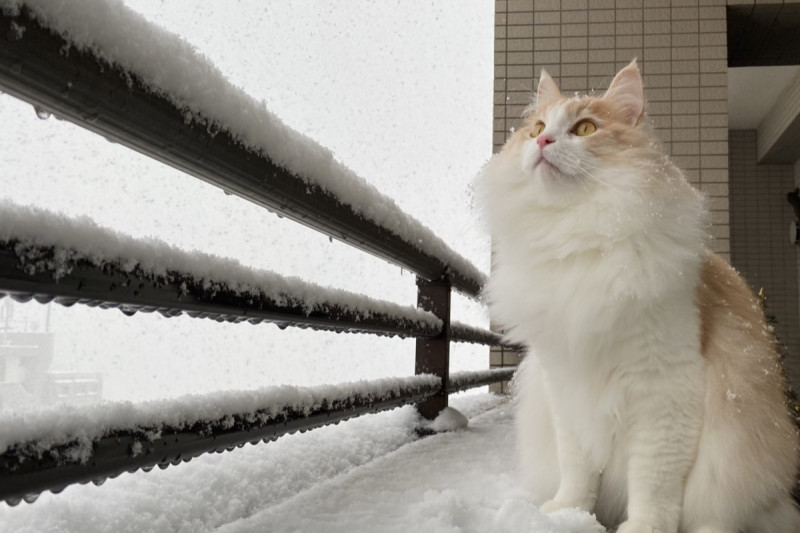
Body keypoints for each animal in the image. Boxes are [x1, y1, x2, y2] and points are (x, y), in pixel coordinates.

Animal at [478, 59, 796, 532]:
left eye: (585, 128)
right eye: (536, 127)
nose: (542, 141)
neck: (578, 236)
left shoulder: (665, 391)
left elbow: (652, 480)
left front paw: (644, 527)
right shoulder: (566, 386)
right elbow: (577, 469)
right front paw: (569, 514)